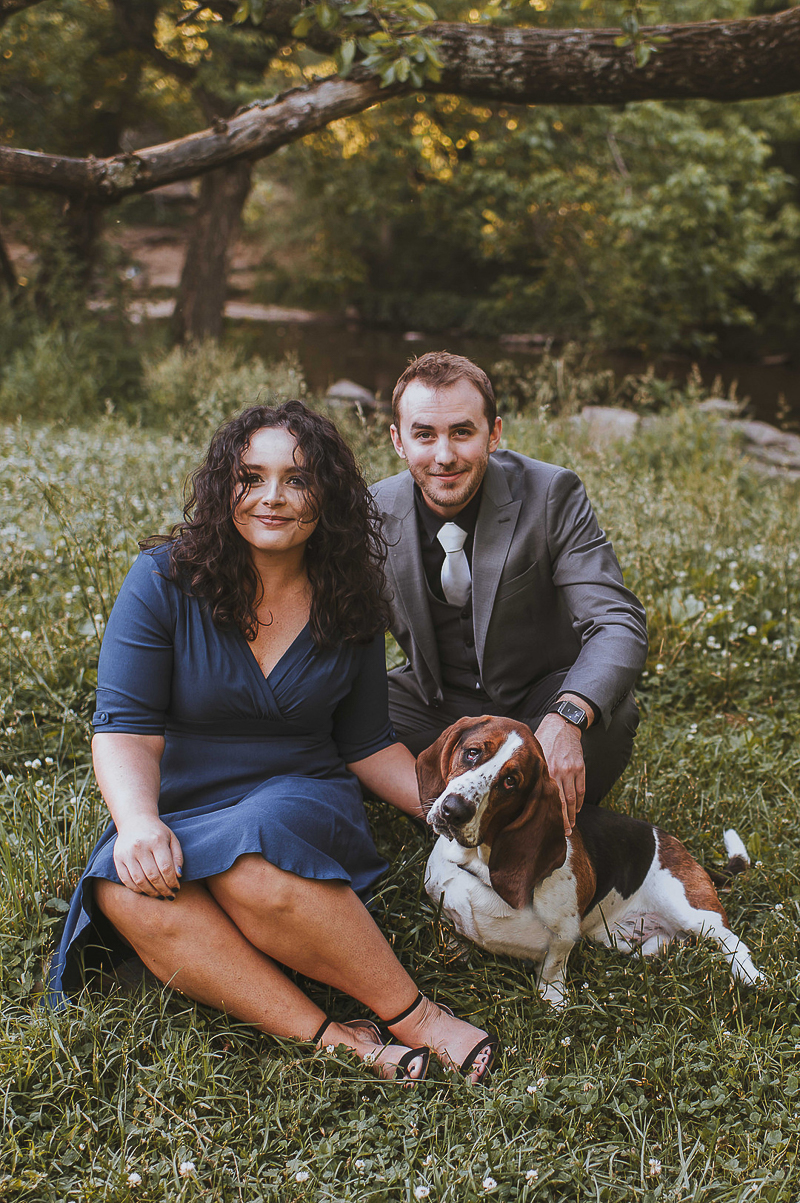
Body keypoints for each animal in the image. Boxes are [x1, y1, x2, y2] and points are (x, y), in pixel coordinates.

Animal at [418, 712, 760, 1005]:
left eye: (510, 781)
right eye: (472, 752)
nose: (453, 810)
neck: (474, 863)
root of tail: (681, 848)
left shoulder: (565, 933)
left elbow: (553, 966)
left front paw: (553, 1001)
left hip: (690, 909)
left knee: (731, 940)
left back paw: (751, 977)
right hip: (614, 936)